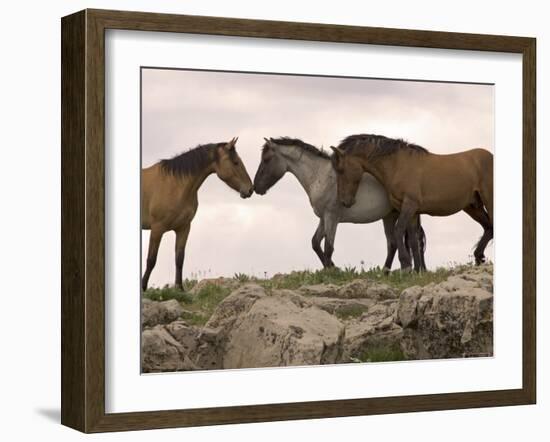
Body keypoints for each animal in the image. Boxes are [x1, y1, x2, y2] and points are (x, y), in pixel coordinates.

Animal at [142, 137, 254, 290]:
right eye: (236, 162)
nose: (250, 189)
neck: (175, 185)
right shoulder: (157, 229)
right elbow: (151, 260)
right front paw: (143, 287)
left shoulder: (183, 228)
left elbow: (179, 259)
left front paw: (180, 289)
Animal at [252, 136, 430, 272]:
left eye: (266, 159)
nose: (256, 187)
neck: (321, 176)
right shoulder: (323, 218)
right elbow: (315, 243)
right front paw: (331, 268)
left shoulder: (332, 216)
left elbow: (328, 247)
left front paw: (331, 271)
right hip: (389, 216)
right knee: (394, 243)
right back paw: (386, 272)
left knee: (408, 241)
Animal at [332, 133, 496, 272]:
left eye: (340, 169)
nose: (345, 201)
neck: (398, 165)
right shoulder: (412, 211)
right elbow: (413, 239)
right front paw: (418, 270)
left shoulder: (409, 205)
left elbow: (399, 230)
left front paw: (406, 265)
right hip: (473, 206)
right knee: (489, 227)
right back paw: (478, 257)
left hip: (489, 201)